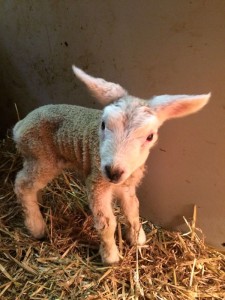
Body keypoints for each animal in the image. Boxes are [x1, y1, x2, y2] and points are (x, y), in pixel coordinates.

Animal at [12, 66, 211, 264]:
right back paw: (36, 227)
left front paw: (137, 239)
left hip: (36, 158)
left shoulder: (127, 184)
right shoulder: (97, 183)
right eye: (103, 124)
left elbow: (133, 209)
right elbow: (107, 223)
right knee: (22, 185)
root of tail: (20, 125)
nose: (112, 171)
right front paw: (111, 257)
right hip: (42, 157)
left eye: (150, 136)